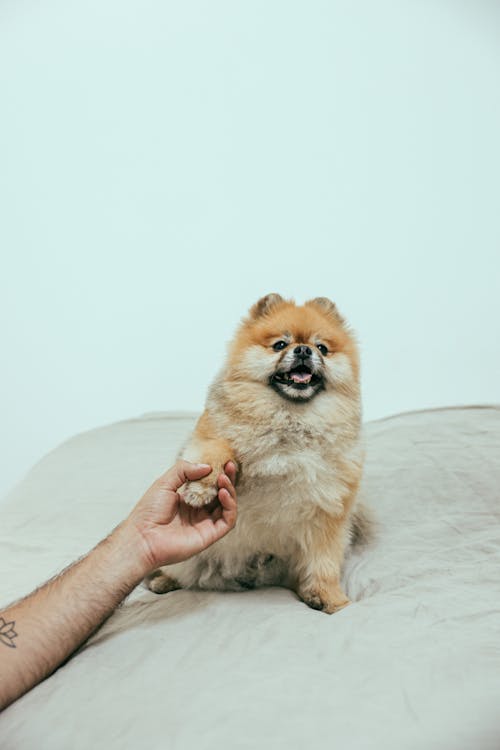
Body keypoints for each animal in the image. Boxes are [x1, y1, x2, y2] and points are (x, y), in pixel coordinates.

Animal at [146, 296, 366, 616]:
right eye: (280, 344)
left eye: (322, 347)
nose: (304, 349)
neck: (291, 420)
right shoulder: (208, 437)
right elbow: (216, 451)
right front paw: (200, 489)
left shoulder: (328, 514)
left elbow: (322, 562)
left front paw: (329, 598)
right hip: (186, 557)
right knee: (180, 570)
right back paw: (163, 580)